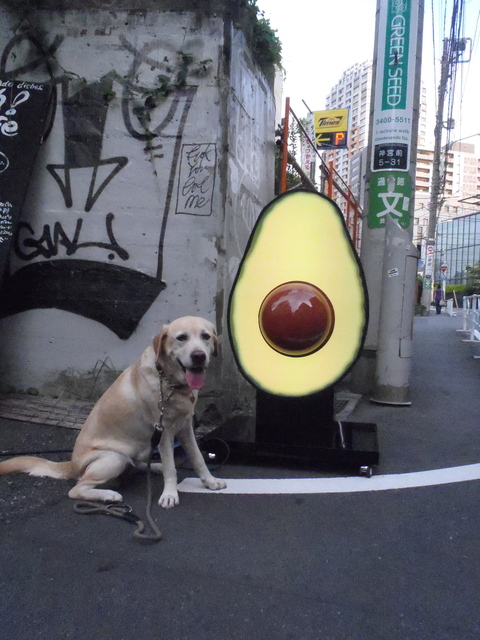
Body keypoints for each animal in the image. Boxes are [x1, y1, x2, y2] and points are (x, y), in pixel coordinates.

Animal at [0, 316, 227, 510]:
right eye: (181, 338)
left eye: (205, 336)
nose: (199, 356)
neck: (170, 382)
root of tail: (72, 465)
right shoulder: (164, 431)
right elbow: (172, 467)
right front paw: (170, 494)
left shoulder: (185, 427)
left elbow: (197, 457)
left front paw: (210, 482)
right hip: (113, 458)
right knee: (78, 488)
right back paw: (108, 495)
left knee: (137, 464)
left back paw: (154, 466)